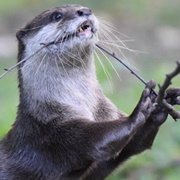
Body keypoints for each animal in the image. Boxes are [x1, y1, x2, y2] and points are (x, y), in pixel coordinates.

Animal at [0, 4, 177, 180]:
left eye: (80, 6)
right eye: (57, 16)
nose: (85, 10)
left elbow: (133, 146)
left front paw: (161, 103)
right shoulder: (51, 132)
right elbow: (95, 142)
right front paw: (139, 110)